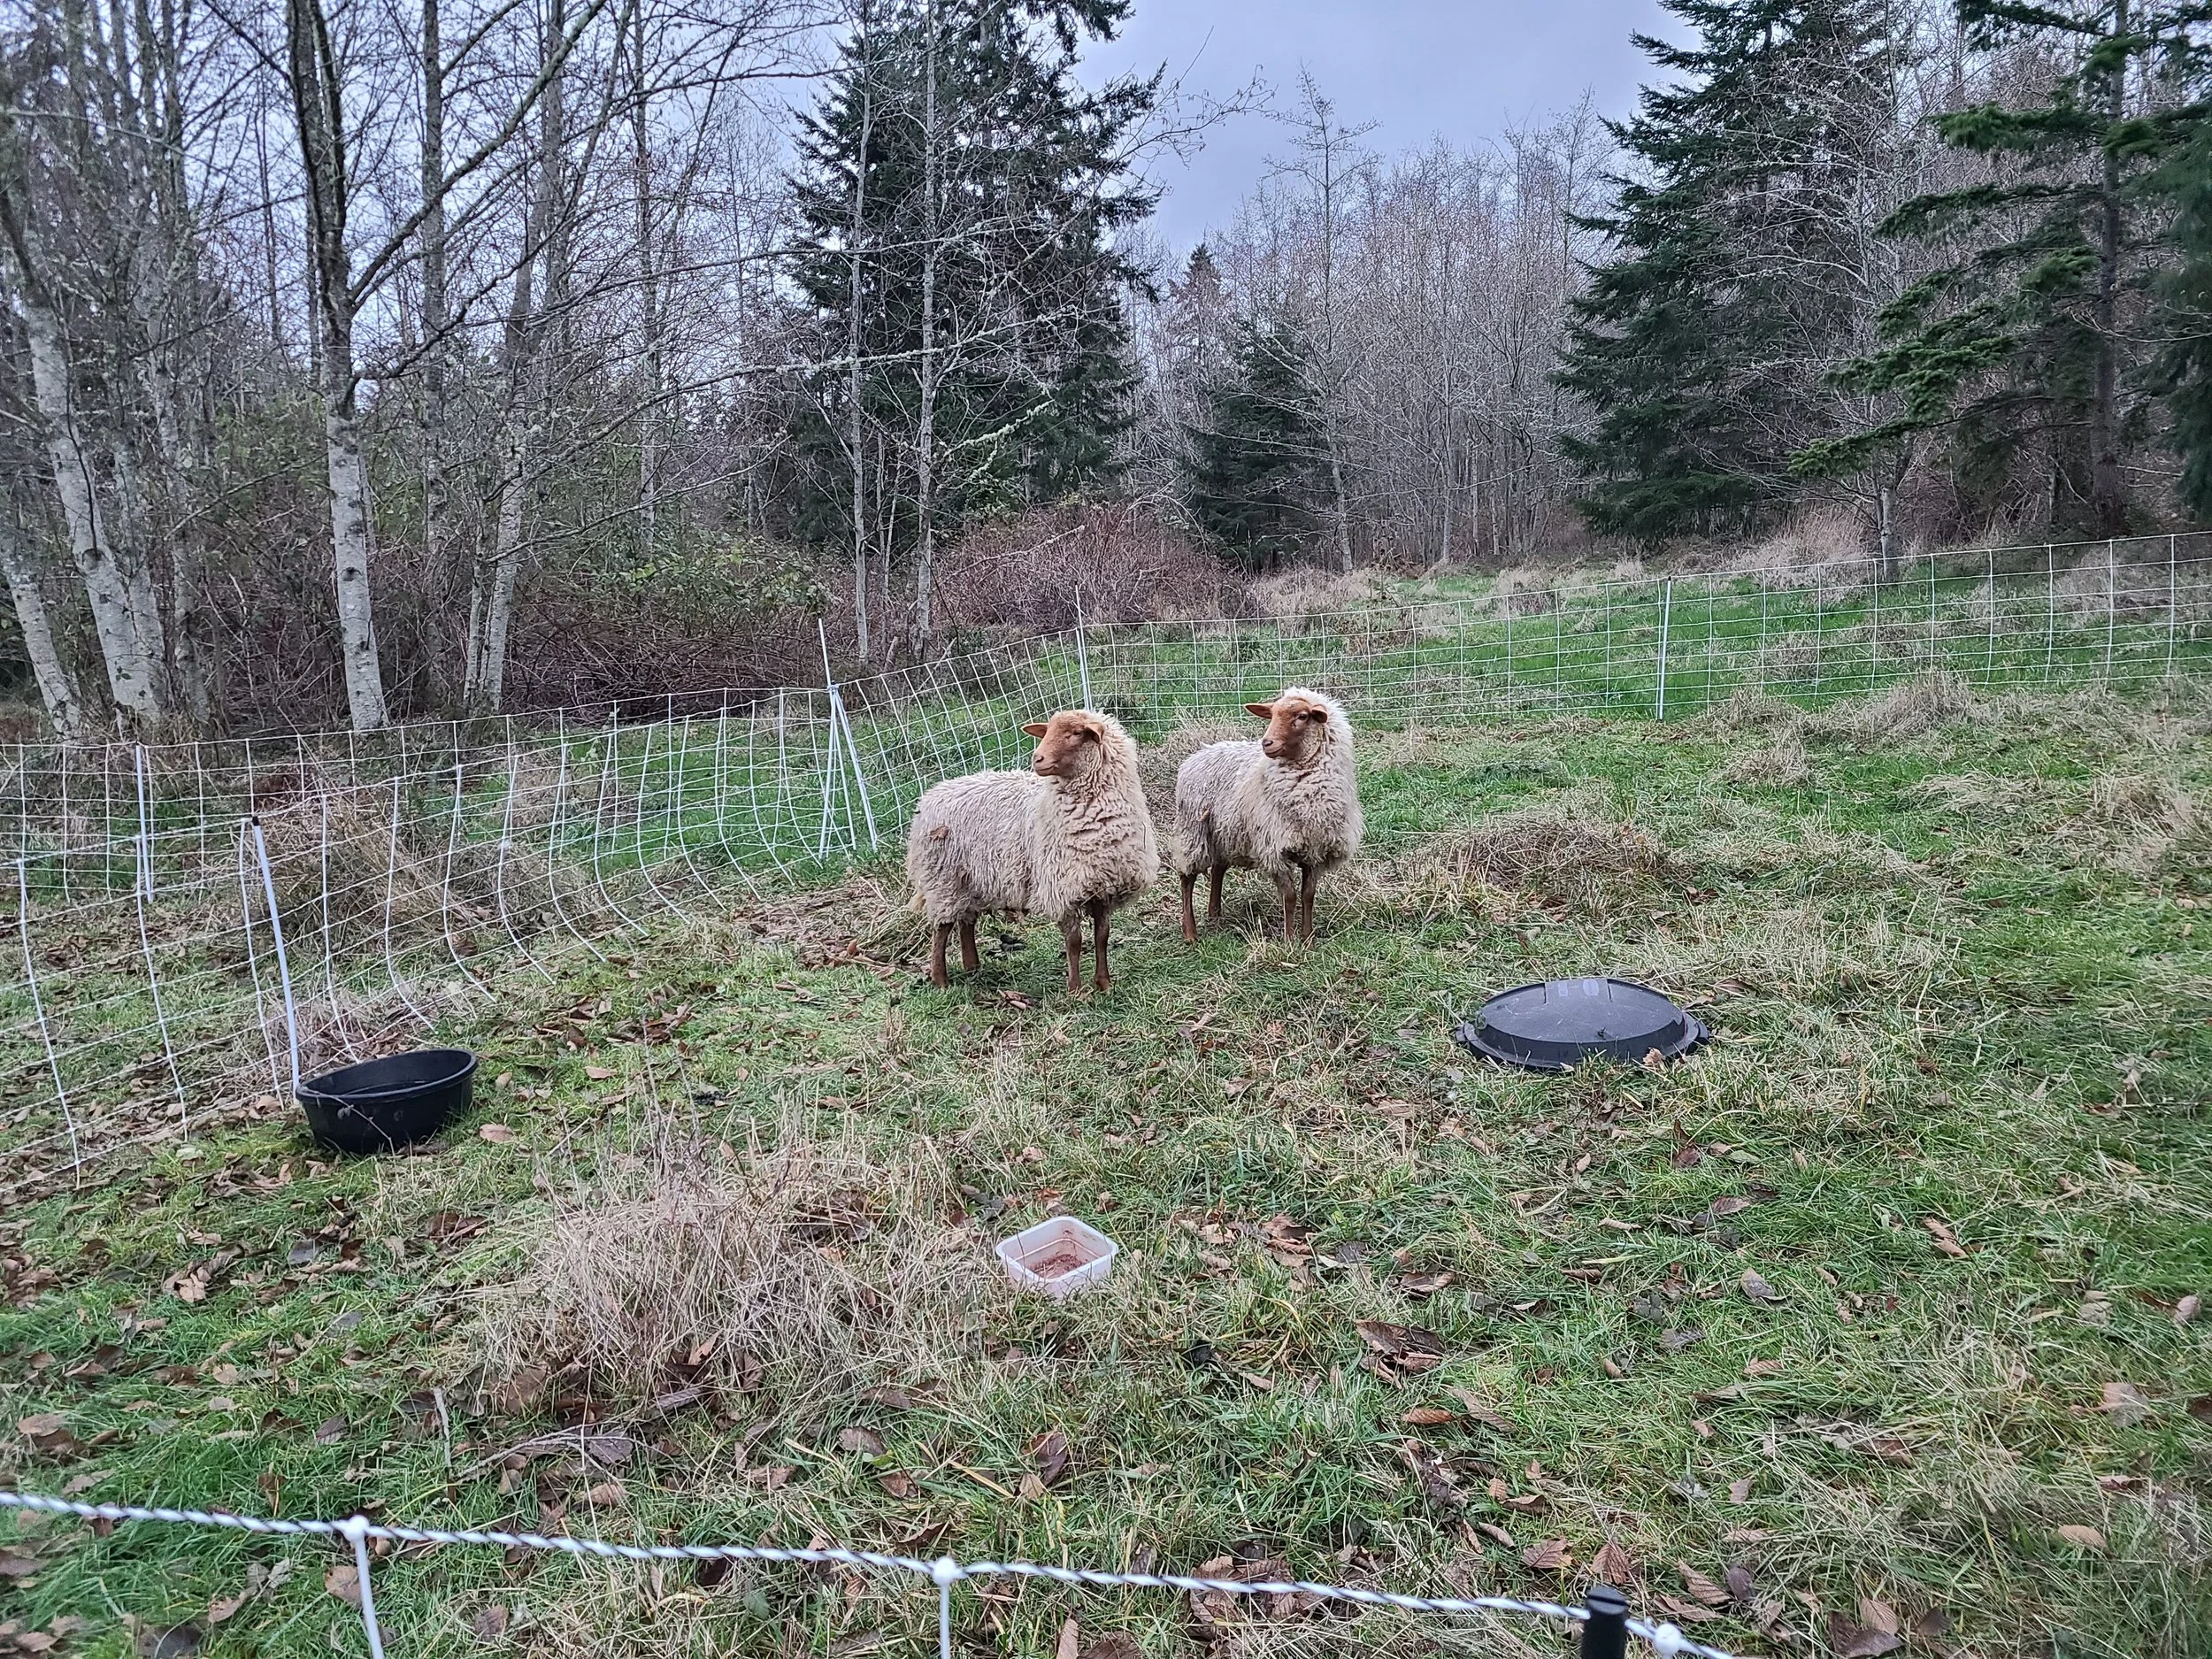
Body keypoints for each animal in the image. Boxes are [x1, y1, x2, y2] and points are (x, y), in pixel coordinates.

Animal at [905, 709, 1158, 995]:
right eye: (1047, 731)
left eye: (1076, 733)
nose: (1037, 759)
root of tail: (930, 796)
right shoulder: (1061, 889)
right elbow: (1074, 942)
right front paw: (1076, 991)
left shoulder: (1104, 887)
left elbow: (1102, 936)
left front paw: (1104, 984)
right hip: (942, 879)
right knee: (942, 928)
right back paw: (941, 980)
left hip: (970, 880)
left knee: (966, 922)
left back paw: (972, 967)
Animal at [1171, 686, 1361, 945]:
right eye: (1271, 715)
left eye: (1302, 716)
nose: (1266, 743)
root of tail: (1202, 751)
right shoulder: (1275, 850)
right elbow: (1290, 897)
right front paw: (1290, 940)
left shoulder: (1316, 851)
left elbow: (1308, 895)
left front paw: (1308, 939)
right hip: (1194, 831)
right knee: (1187, 878)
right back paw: (1190, 932)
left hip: (1225, 832)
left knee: (1218, 869)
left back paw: (1215, 916)